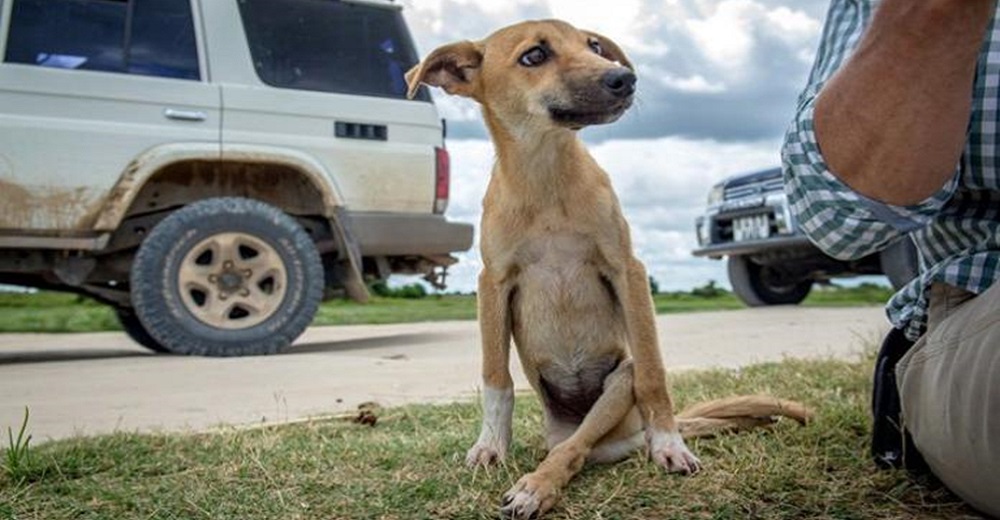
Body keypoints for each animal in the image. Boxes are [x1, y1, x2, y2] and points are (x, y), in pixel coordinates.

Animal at [406, 20, 812, 520]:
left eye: (594, 46)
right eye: (534, 55)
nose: (624, 79)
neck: (546, 177)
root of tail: (625, 437)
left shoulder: (627, 271)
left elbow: (655, 372)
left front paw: (671, 444)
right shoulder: (493, 281)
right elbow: (495, 377)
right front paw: (490, 446)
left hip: (618, 385)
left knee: (575, 450)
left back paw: (540, 485)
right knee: (568, 446)